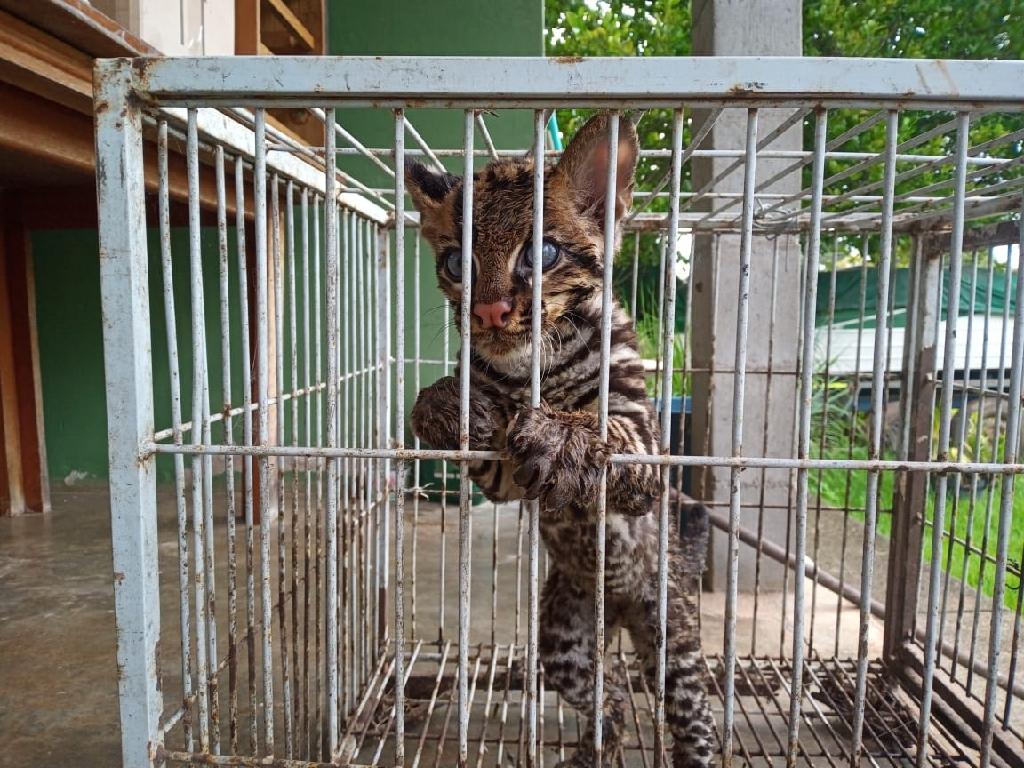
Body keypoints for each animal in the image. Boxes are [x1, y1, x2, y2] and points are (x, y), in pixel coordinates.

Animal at [405, 111, 712, 765]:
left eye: (542, 253)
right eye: (456, 264)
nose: (490, 312)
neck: (536, 368)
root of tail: (617, 612)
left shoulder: (645, 440)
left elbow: (612, 436)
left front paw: (567, 436)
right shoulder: (506, 477)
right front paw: (445, 402)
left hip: (673, 639)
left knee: (691, 716)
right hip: (564, 641)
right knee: (610, 691)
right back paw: (594, 748)